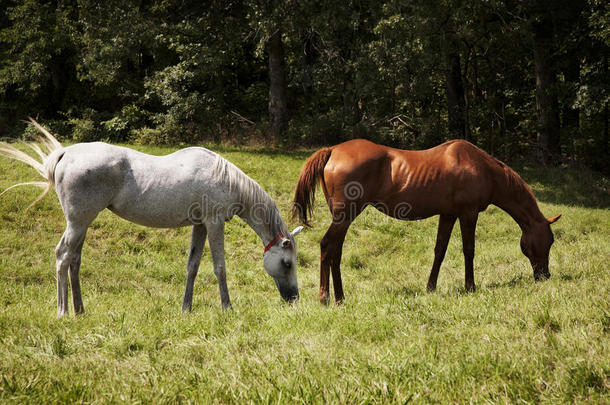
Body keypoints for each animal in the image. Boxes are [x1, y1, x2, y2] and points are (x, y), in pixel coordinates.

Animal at [1, 118, 300, 318]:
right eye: (287, 263)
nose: (294, 298)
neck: (225, 178)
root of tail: (66, 153)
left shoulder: (200, 225)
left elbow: (193, 266)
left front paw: (186, 308)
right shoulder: (214, 223)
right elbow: (219, 266)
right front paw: (227, 307)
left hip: (82, 224)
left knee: (74, 259)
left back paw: (80, 309)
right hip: (77, 223)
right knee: (63, 256)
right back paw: (63, 311)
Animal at [292, 139, 560, 304]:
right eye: (549, 241)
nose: (544, 275)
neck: (481, 168)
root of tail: (332, 150)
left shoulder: (448, 214)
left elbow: (440, 250)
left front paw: (431, 287)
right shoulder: (469, 213)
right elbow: (469, 250)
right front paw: (470, 286)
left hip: (343, 219)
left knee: (335, 251)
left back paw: (340, 297)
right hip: (345, 216)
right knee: (327, 246)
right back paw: (325, 298)